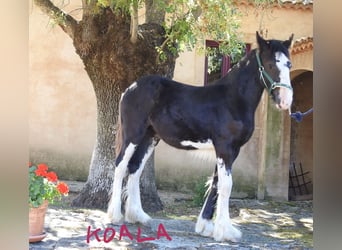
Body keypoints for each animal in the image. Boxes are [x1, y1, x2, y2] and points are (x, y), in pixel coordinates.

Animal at [107, 31, 294, 242]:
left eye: (289, 64)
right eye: (270, 64)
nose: (285, 101)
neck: (233, 100)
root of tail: (130, 88)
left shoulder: (231, 150)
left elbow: (216, 183)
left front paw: (206, 226)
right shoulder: (225, 148)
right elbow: (226, 185)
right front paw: (225, 232)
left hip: (150, 138)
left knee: (135, 168)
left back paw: (137, 216)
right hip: (133, 134)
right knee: (120, 165)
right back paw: (115, 216)